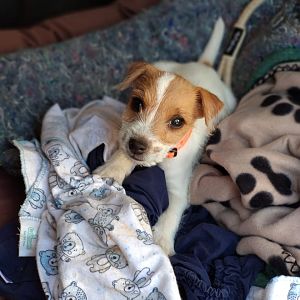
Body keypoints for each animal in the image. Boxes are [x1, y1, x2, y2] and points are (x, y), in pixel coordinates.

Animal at [94, 17, 237, 254]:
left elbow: (172, 212)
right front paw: (112, 169)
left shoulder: (179, 190)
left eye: (177, 122)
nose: (137, 146)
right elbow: (123, 154)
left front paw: (161, 240)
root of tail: (205, 65)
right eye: (137, 103)